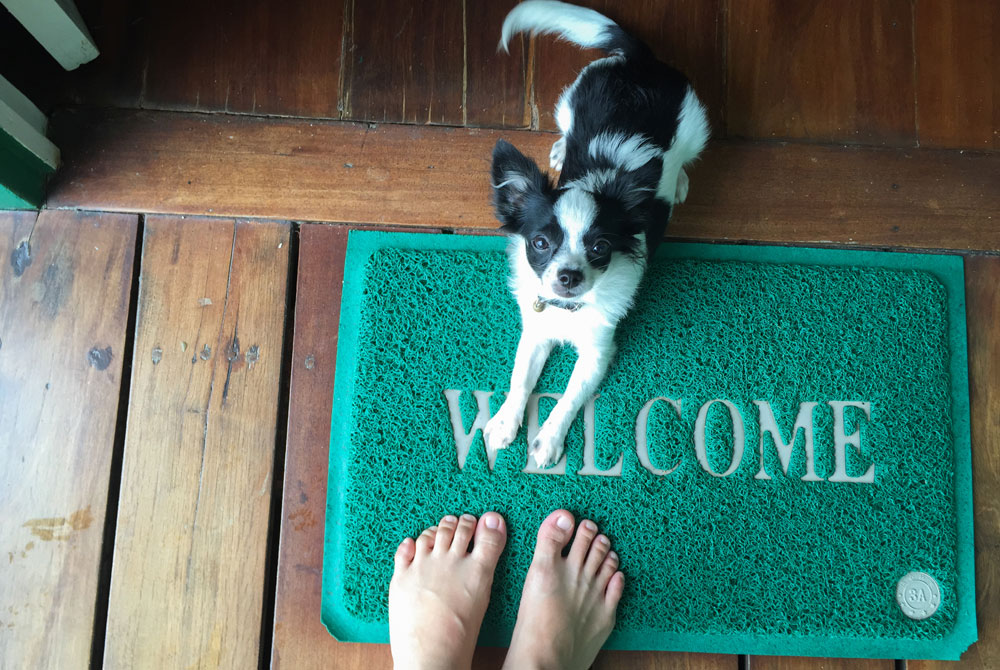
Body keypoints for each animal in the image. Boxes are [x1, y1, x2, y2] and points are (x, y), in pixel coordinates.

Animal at [482, 1, 704, 468]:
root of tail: (640, 62)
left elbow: (569, 396)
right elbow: (520, 377)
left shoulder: (597, 352)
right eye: (540, 244)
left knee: (689, 157)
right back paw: (560, 148)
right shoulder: (536, 331)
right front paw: (505, 422)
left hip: (696, 128)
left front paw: (547, 440)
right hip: (568, 103)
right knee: (567, 127)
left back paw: (678, 182)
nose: (568, 276)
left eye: (600, 247)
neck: (569, 312)